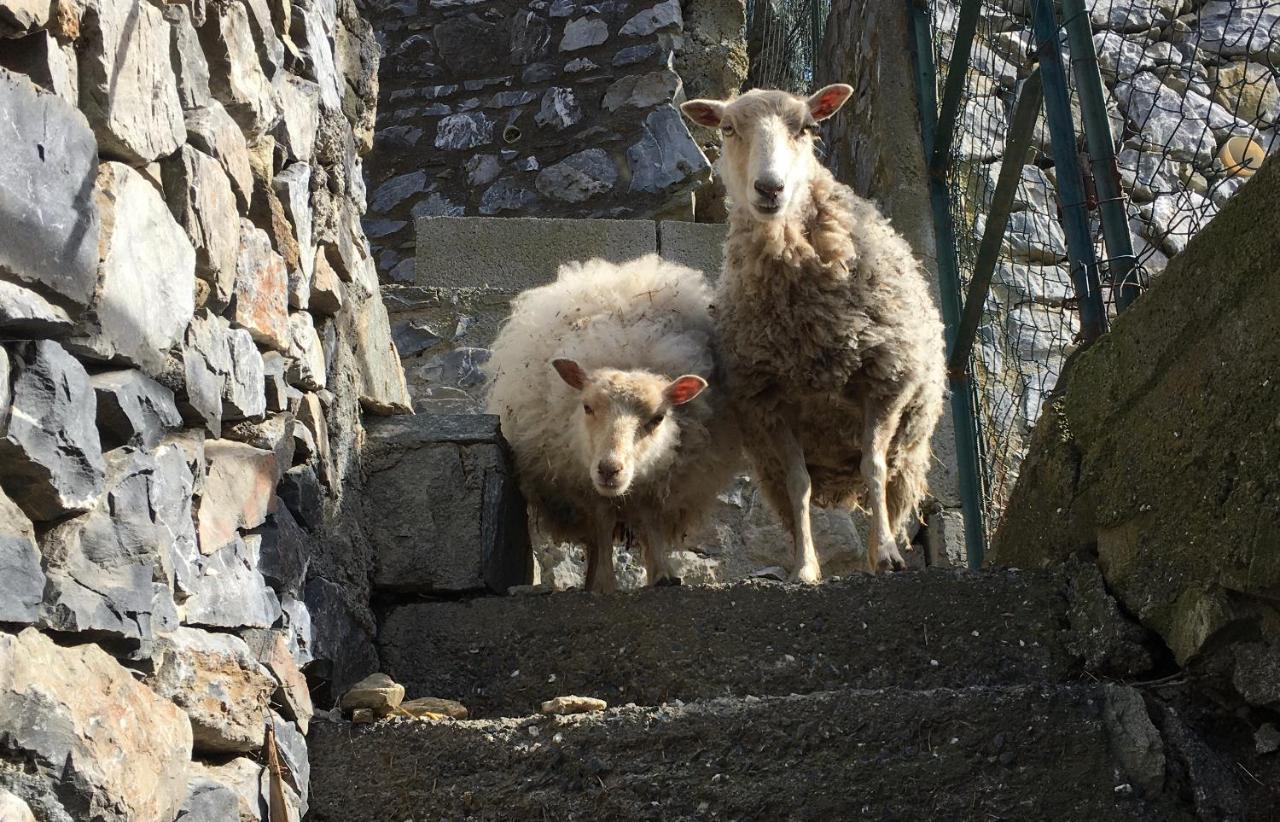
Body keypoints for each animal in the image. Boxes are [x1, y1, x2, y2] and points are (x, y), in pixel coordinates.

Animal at [481, 250, 742, 588]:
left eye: (658, 418)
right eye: (587, 407)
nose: (609, 469)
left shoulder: (657, 482)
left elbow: (650, 522)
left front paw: (663, 575)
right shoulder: (583, 484)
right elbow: (602, 525)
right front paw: (604, 583)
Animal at [680, 84, 952, 576]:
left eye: (807, 128)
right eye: (727, 128)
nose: (770, 188)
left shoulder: (884, 381)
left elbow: (873, 467)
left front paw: (885, 552)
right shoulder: (771, 404)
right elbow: (798, 484)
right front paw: (805, 568)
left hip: (911, 445)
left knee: (888, 483)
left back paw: (884, 550)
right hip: (766, 465)